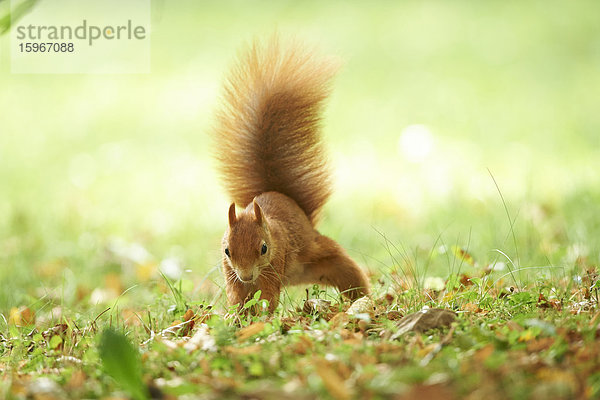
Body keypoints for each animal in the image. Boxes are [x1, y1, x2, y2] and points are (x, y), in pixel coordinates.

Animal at [211, 36, 370, 312]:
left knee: (351, 276)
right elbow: (236, 295)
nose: (246, 275)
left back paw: (364, 302)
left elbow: (266, 296)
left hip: (325, 257)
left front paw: (259, 316)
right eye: (227, 250)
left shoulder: (275, 264)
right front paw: (236, 316)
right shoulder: (229, 271)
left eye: (264, 248)